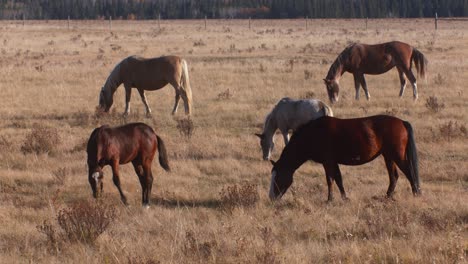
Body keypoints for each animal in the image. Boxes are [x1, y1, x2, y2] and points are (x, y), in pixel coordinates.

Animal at [270, 114, 420, 201]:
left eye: (277, 177)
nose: (272, 198)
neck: (313, 133)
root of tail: (402, 122)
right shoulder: (333, 162)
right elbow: (338, 179)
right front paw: (344, 197)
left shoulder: (327, 162)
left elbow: (330, 179)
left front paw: (330, 199)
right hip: (388, 156)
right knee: (394, 176)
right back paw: (387, 196)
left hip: (397, 155)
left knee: (409, 173)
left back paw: (416, 194)